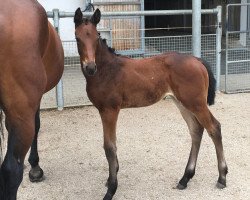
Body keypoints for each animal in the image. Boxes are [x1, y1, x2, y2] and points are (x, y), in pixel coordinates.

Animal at [73, 7, 228, 200]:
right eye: (77, 38)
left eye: (96, 37)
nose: (90, 67)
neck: (106, 70)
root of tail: (196, 60)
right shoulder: (105, 111)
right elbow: (111, 145)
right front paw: (111, 179)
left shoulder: (110, 110)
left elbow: (109, 147)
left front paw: (111, 189)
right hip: (182, 103)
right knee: (196, 130)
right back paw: (185, 178)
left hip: (196, 103)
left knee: (214, 127)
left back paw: (222, 177)